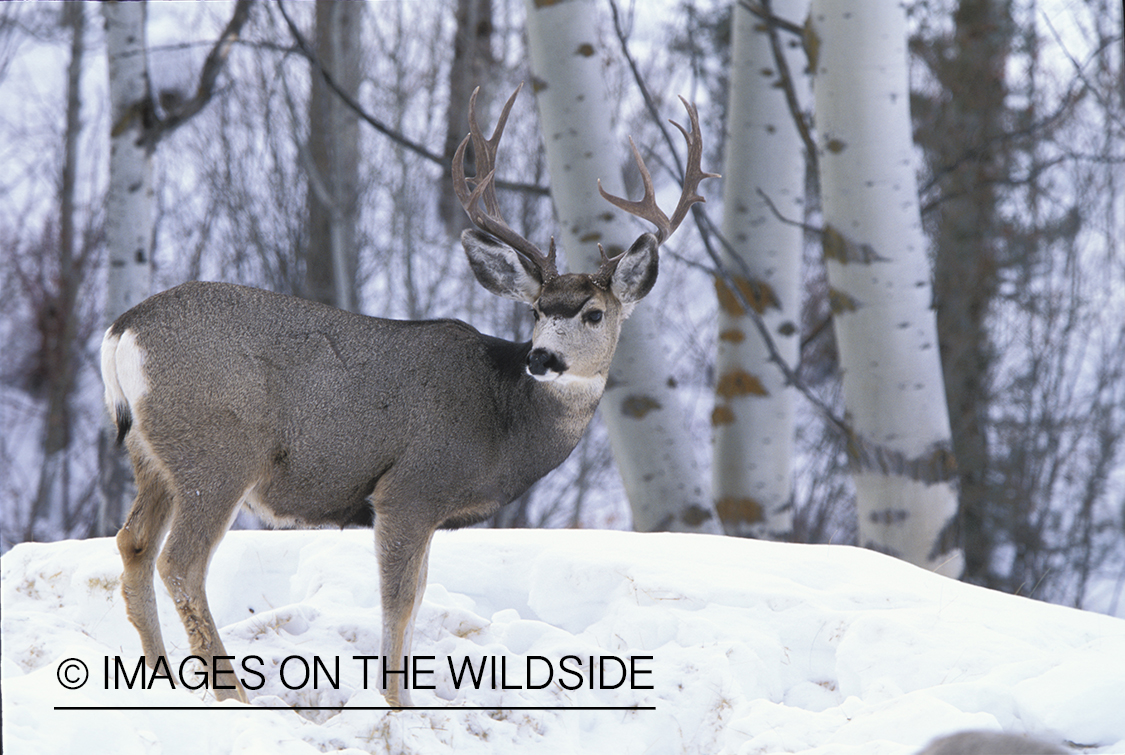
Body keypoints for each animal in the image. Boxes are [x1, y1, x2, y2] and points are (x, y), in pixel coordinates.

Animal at [101, 85, 715, 706]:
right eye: (538, 311)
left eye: (593, 313)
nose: (542, 358)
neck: (502, 423)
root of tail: (124, 330)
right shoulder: (409, 488)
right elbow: (397, 607)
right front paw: (398, 706)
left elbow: (416, 600)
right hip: (218, 451)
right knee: (180, 562)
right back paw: (233, 696)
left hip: (153, 456)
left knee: (134, 546)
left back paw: (158, 678)